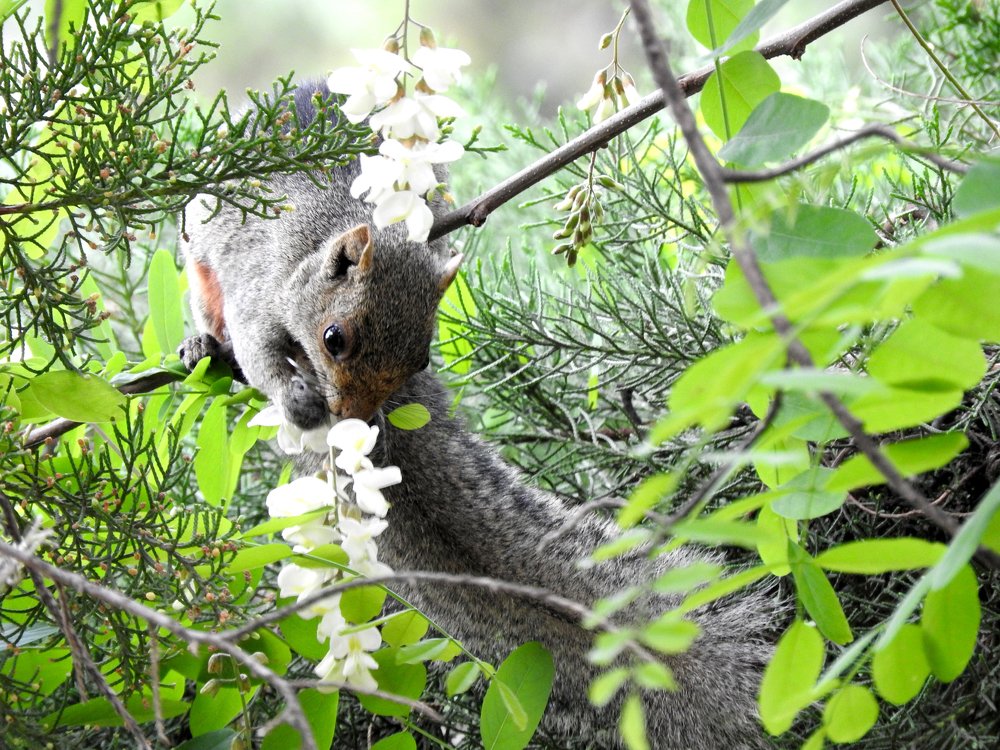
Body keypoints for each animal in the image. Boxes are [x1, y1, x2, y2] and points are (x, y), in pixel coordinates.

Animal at [179, 81, 772, 749]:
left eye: (422, 357)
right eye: (334, 338)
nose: (356, 417)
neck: (323, 234)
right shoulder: (260, 287)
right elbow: (261, 354)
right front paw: (294, 395)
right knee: (206, 298)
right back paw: (203, 345)